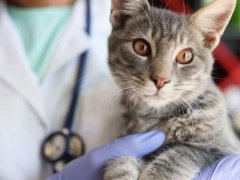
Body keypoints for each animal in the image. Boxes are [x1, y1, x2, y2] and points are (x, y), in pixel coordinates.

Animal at [104, 0, 240, 179]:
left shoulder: (224, 149)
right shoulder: (126, 137)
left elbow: (180, 155)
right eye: (141, 47)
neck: (157, 116)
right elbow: (121, 153)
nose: (160, 79)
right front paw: (120, 171)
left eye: (185, 56)